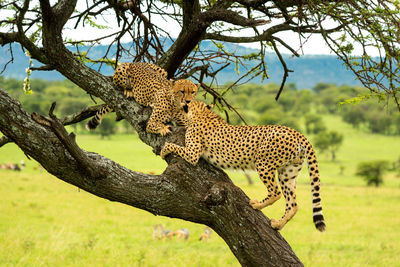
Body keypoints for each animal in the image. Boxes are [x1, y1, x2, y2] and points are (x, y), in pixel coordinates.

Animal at [161, 101, 326, 232]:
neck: (202, 112)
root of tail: (297, 132)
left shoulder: (193, 154)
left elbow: (172, 146)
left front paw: (164, 150)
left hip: (263, 164)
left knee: (276, 192)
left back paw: (257, 205)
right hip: (288, 173)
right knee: (293, 204)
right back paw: (278, 224)